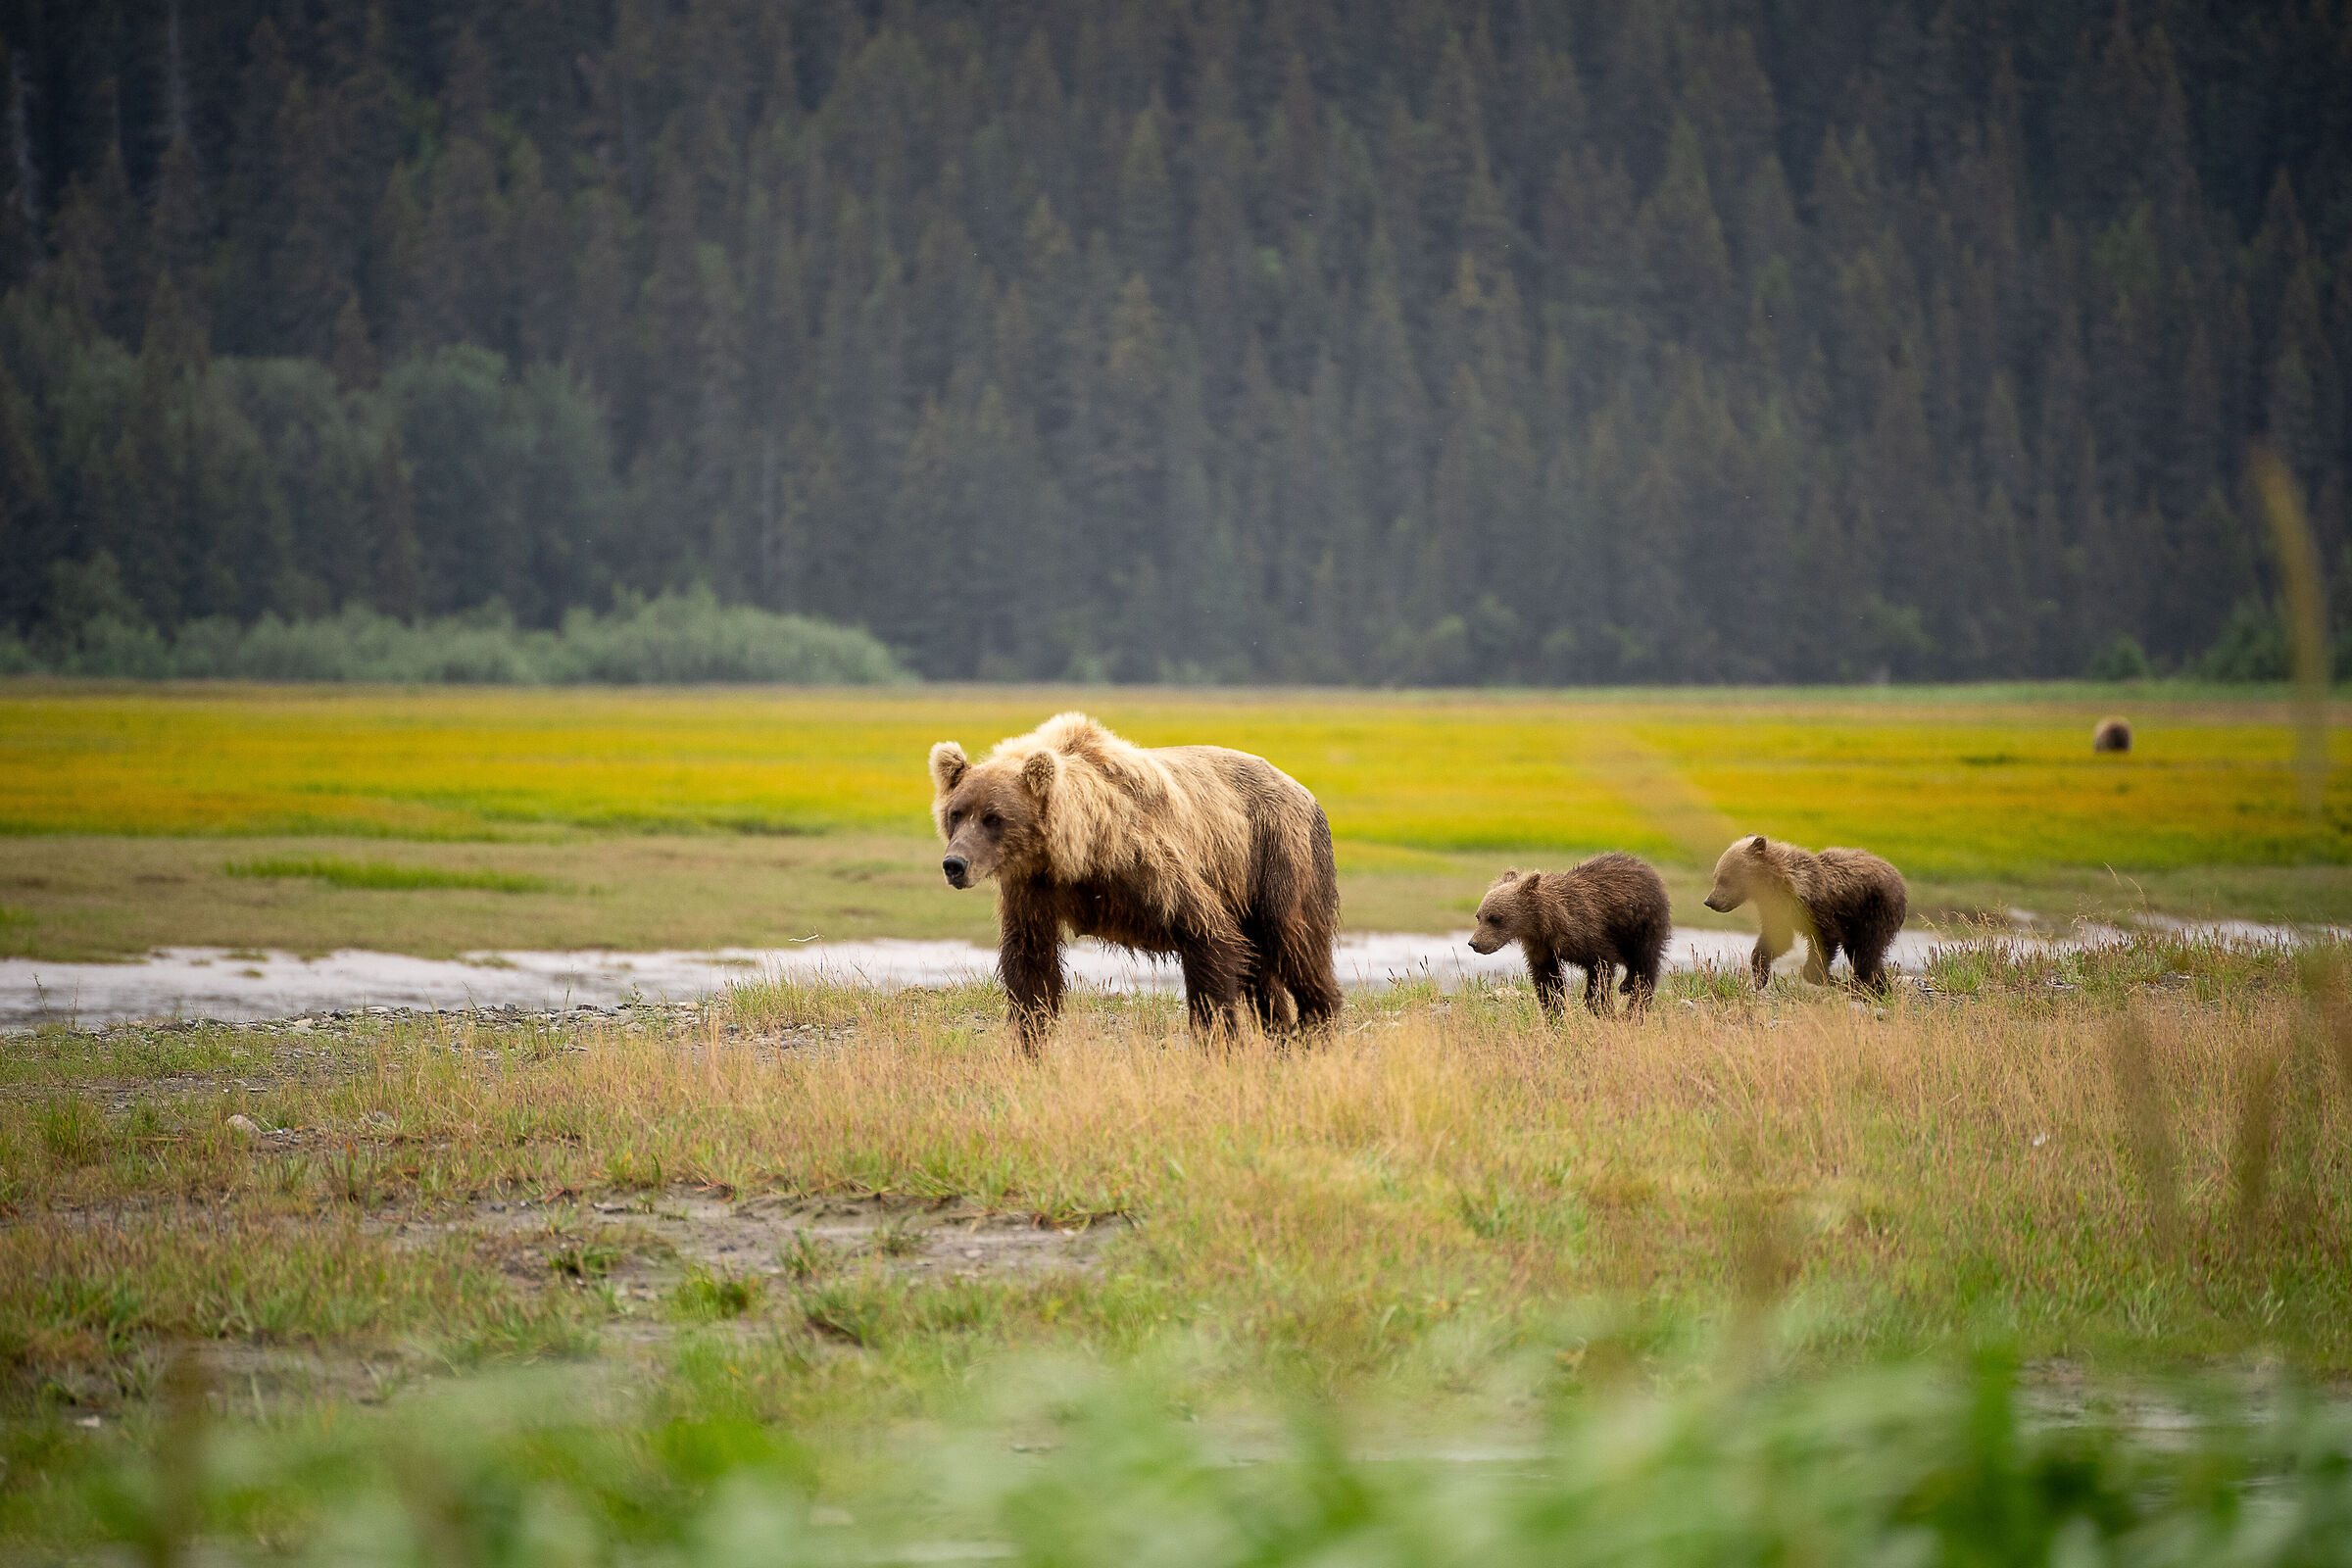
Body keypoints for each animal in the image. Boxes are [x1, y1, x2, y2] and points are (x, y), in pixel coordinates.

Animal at [929, 712, 1342, 1049]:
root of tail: (1304, 790)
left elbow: (1210, 939)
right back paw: (1281, 1034)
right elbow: (1031, 966)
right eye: (956, 813)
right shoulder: (1033, 889)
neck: (1082, 851)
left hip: (1279, 855)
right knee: (1263, 974)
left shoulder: (1152, 868)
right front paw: (1030, 1042)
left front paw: (1217, 1041)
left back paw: (1319, 1028)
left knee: (1297, 945)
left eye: (993, 817)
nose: (955, 864)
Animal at [1466, 853, 1672, 1019]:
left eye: (1495, 918)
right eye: (1479, 916)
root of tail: (1648, 869)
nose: (1474, 943)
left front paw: (1602, 1008)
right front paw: (1554, 1014)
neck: (1545, 925)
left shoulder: (1587, 935)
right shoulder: (1542, 948)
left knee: (1645, 964)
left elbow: (1600, 968)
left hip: (1643, 924)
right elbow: (1548, 982)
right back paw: (1626, 986)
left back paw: (1634, 1007)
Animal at [1703, 834, 1908, 993]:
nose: (1710, 901)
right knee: (1864, 952)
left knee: (1868, 949)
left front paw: (1830, 978)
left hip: (1875, 912)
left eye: (1725, 878)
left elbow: (1824, 941)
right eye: (1716, 876)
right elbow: (1777, 940)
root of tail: (1897, 874)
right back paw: (1880, 988)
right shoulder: (1777, 911)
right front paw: (1760, 977)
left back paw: (1859, 984)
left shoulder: (1819, 912)